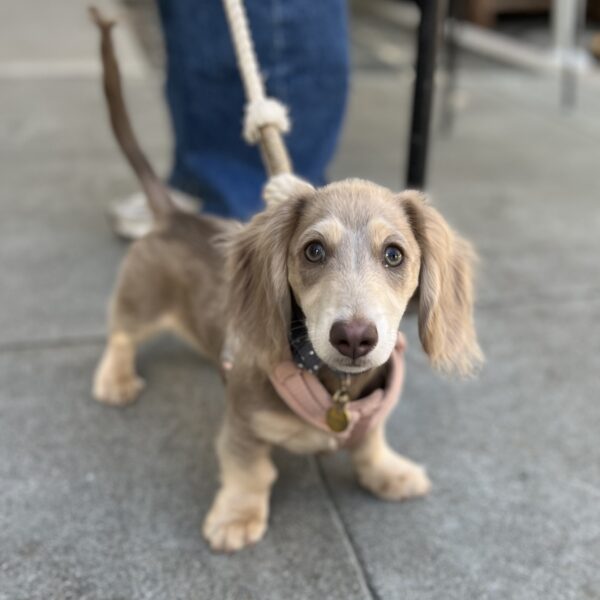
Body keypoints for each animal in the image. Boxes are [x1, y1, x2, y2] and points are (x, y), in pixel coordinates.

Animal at [90, 9, 482, 552]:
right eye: (313, 250)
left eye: (395, 254)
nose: (354, 337)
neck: (337, 387)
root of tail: (174, 214)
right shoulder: (242, 423)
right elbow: (249, 471)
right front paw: (237, 515)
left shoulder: (370, 420)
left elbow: (370, 444)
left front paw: (389, 472)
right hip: (140, 300)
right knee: (122, 335)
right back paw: (115, 379)